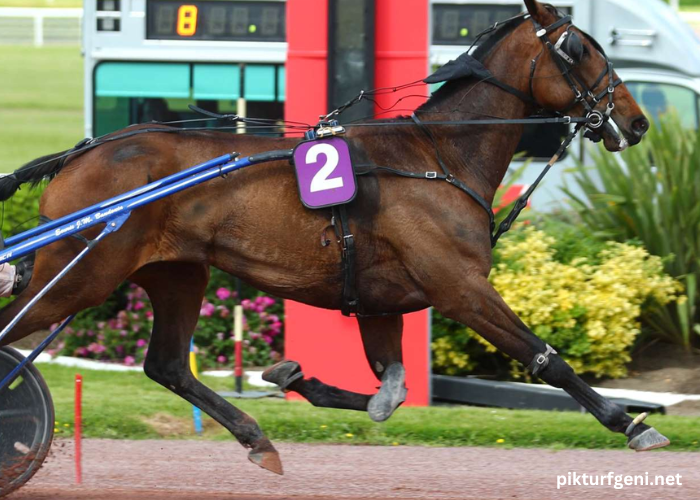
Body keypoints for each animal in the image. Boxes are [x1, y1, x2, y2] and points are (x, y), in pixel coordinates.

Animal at [0, 0, 668, 476]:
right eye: (579, 49)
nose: (637, 121)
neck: (438, 158)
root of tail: (79, 155)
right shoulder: (460, 288)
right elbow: (543, 357)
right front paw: (632, 423)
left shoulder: (382, 300)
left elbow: (390, 391)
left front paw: (295, 378)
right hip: (84, 269)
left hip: (176, 272)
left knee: (166, 364)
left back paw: (257, 438)